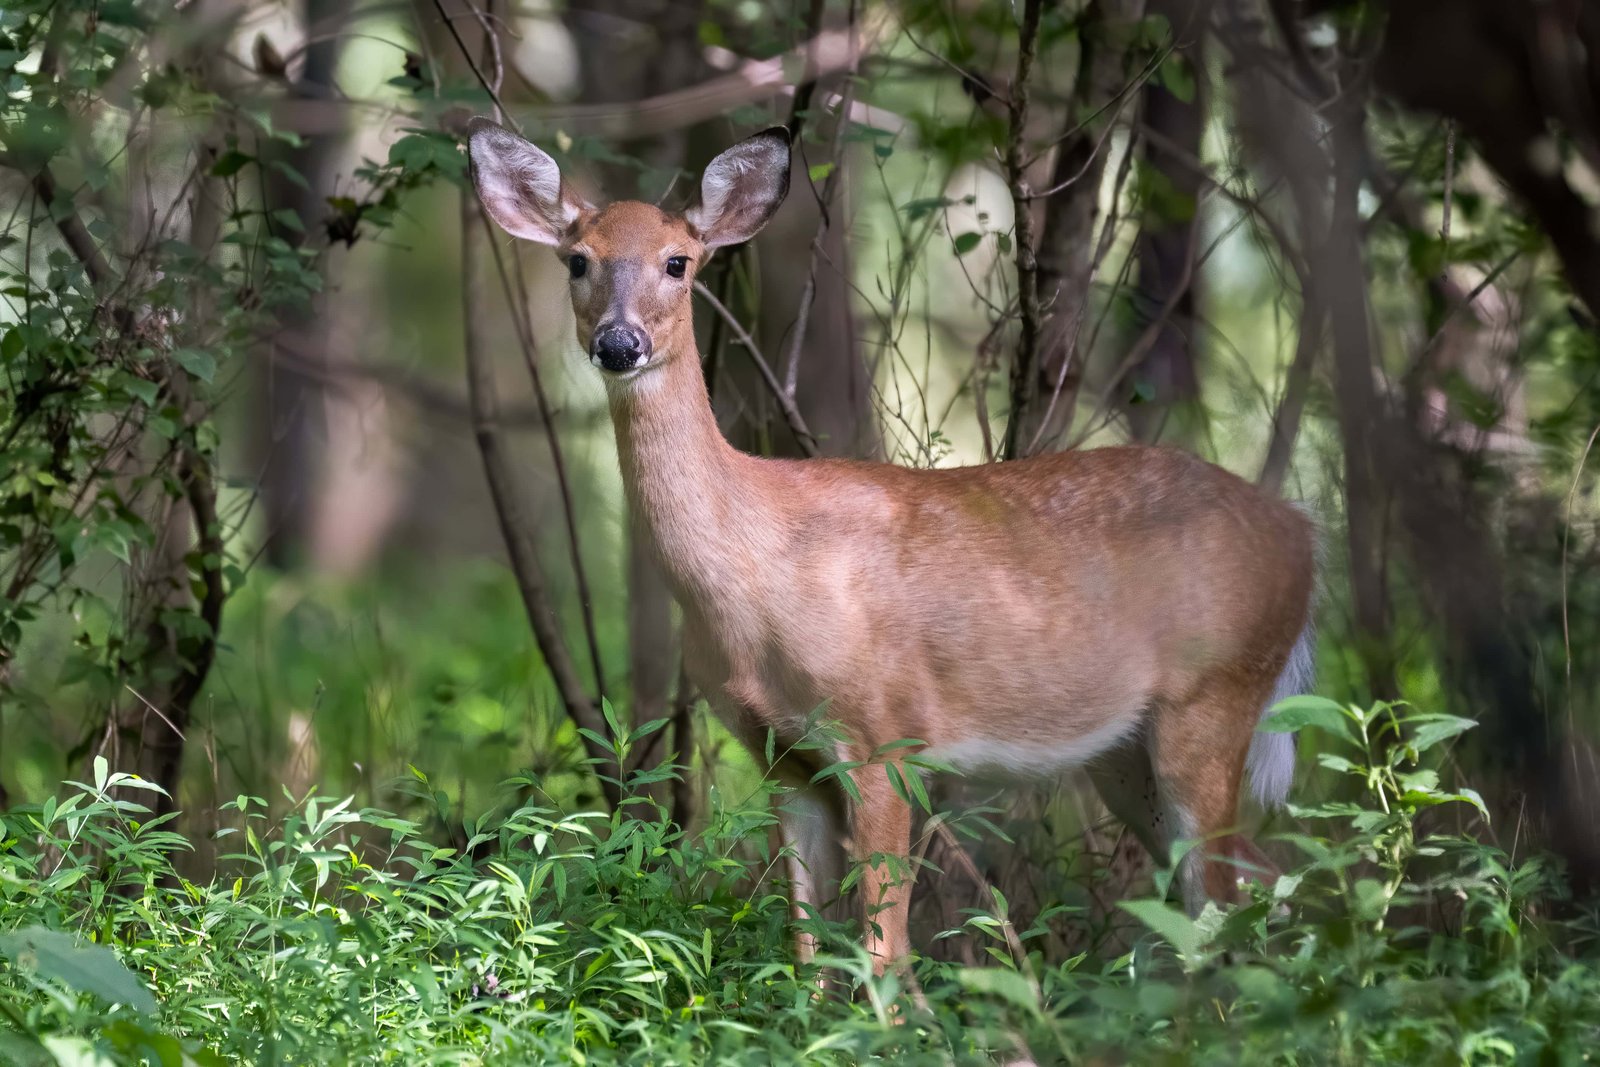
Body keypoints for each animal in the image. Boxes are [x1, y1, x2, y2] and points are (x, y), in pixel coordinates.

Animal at [466, 118, 1318, 974]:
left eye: (679, 261)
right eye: (578, 258)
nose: (619, 342)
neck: (753, 575)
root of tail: (1300, 533)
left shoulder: (884, 733)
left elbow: (883, 948)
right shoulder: (781, 754)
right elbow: (807, 944)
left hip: (1214, 691)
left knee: (1230, 895)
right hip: (1125, 751)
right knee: (1244, 885)